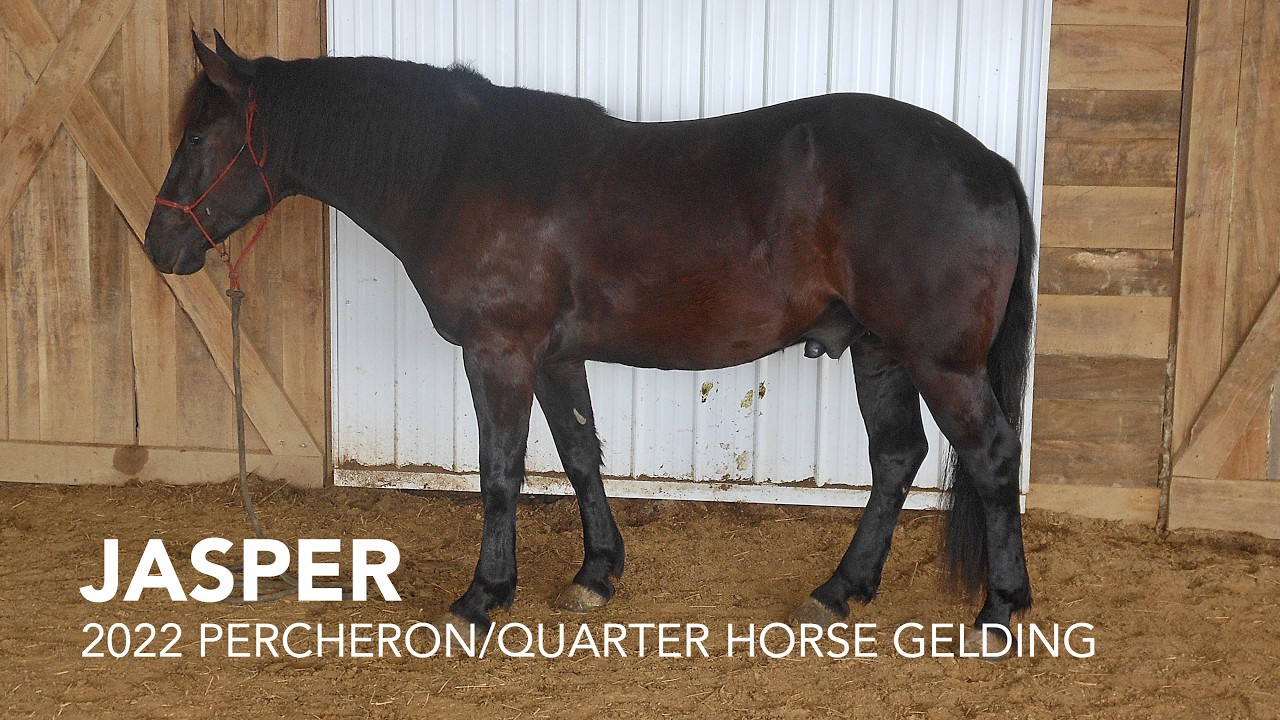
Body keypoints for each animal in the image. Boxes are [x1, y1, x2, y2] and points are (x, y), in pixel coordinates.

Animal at [146, 31, 1036, 647]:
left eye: (195, 140)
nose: (160, 247)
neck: (454, 171)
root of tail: (990, 163)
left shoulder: (498, 352)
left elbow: (500, 473)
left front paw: (483, 596)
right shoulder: (555, 355)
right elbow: (579, 453)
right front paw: (595, 575)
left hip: (939, 362)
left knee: (990, 457)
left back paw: (1000, 609)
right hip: (880, 351)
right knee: (896, 458)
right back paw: (840, 589)